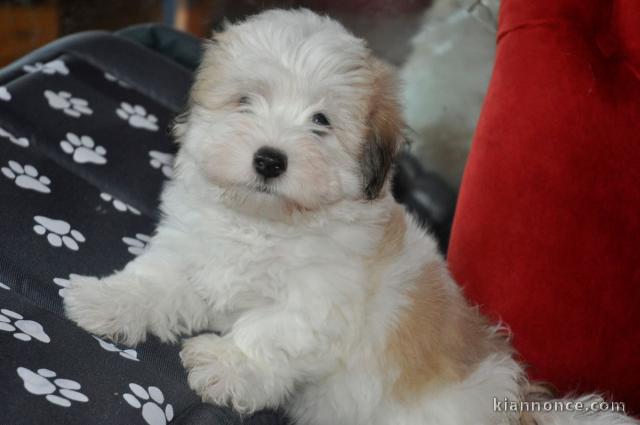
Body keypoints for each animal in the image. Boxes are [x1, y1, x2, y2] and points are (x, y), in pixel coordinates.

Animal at [63, 9, 636, 424]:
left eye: (320, 122)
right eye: (246, 101)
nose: (269, 159)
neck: (265, 223)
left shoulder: (319, 300)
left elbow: (271, 329)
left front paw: (228, 366)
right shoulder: (192, 248)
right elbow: (155, 279)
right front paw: (106, 301)